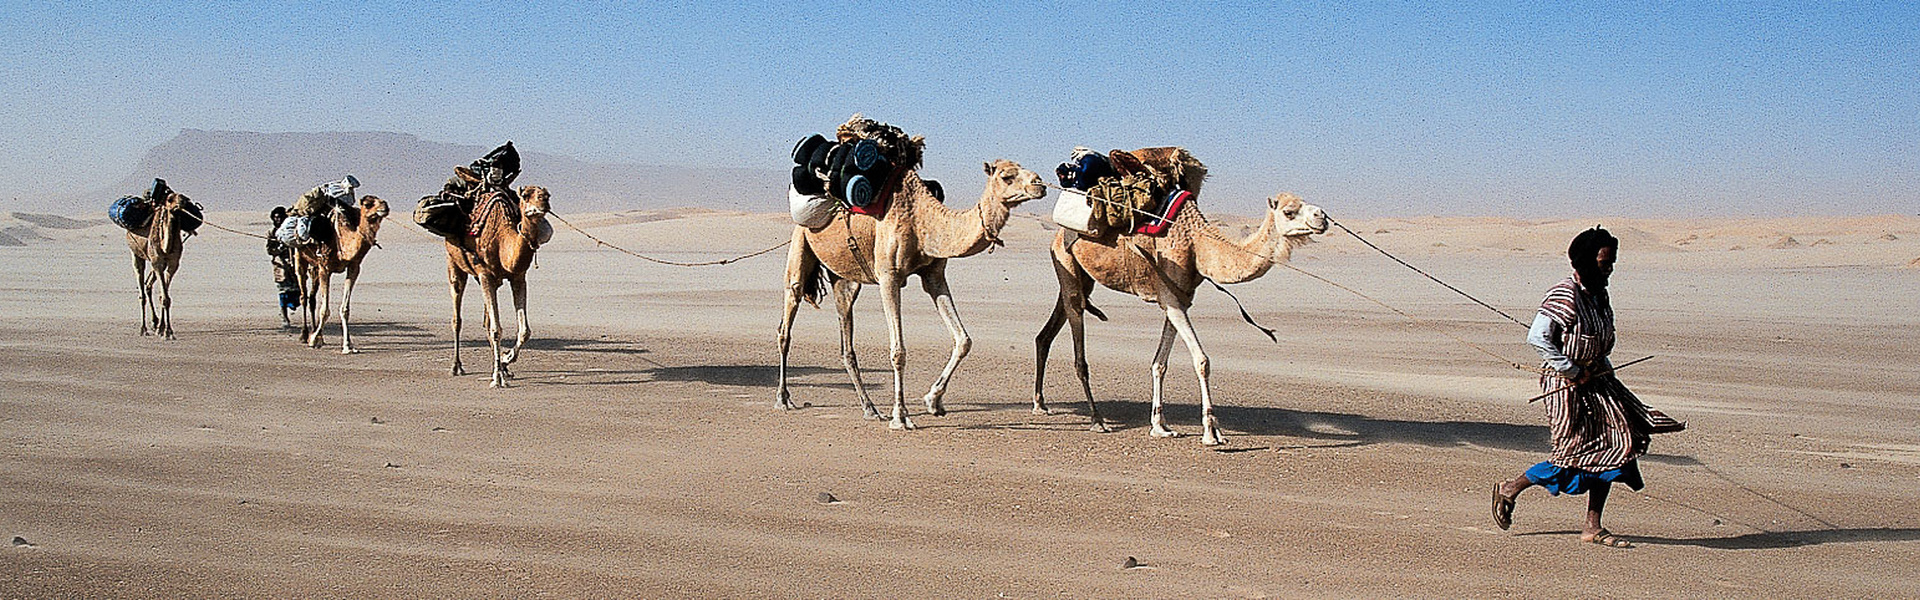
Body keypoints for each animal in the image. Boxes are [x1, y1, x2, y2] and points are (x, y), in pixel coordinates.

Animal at [125, 188, 191, 338]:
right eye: (170, 199)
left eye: (183, 197)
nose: (183, 202)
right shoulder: (158, 262)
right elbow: (164, 297)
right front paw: (165, 331)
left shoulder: (172, 264)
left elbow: (164, 297)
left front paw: (165, 329)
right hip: (136, 253)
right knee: (141, 289)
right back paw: (143, 328)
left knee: (148, 284)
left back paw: (155, 323)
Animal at [289, 194, 387, 351]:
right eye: (368, 204)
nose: (385, 207)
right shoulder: (325, 268)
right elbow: (324, 310)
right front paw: (313, 339)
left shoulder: (354, 267)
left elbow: (345, 309)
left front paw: (347, 344)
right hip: (299, 256)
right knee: (303, 296)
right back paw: (305, 335)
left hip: (315, 266)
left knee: (312, 298)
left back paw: (316, 333)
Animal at [441, 181, 549, 388]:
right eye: (525, 195)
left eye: (547, 194)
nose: (544, 202)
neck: (502, 239)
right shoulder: (485, 275)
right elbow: (496, 329)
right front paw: (497, 377)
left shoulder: (518, 277)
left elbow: (524, 331)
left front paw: (506, 361)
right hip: (453, 262)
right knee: (457, 318)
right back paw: (456, 366)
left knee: (487, 320)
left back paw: (503, 367)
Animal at [775, 129, 1052, 430]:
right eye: (1007, 176)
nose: (1040, 184)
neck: (922, 220)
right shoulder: (889, 276)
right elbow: (898, 351)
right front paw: (901, 416)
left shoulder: (934, 275)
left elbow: (963, 340)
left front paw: (934, 401)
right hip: (800, 242)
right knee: (786, 322)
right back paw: (784, 399)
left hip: (845, 279)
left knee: (846, 341)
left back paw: (870, 408)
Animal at [1036, 149, 1320, 446]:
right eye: (1289, 212)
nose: (1321, 217)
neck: (1196, 243)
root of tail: (1058, 232)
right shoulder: (1172, 301)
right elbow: (1202, 361)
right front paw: (1211, 432)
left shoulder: (1178, 298)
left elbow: (1159, 363)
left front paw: (1160, 426)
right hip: (1066, 264)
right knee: (1078, 338)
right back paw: (1097, 419)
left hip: (1080, 276)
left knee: (1048, 331)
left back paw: (1041, 403)